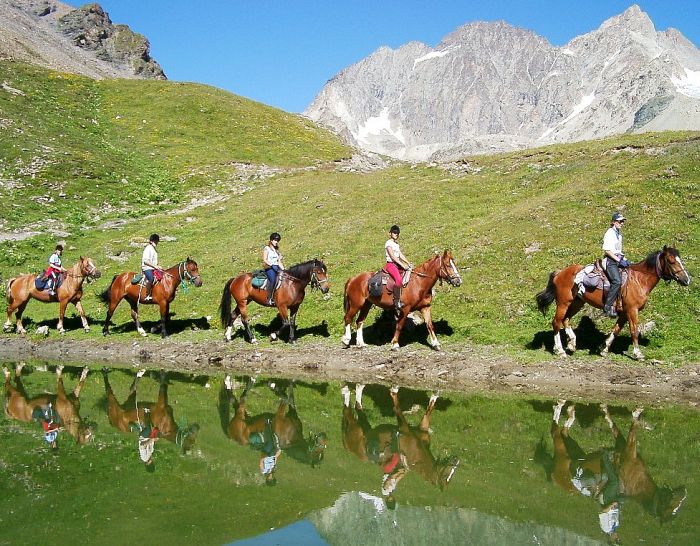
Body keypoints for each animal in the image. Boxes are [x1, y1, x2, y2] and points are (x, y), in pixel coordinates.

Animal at [536, 245, 688, 356]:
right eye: (671, 261)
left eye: (680, 260)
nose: (686, 279)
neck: (639, 280)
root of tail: (560, 273)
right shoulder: (632, 310)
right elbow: (634, 331)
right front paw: (637, 353)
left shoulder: (624, 312)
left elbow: (616, 330)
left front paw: (604, 349)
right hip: (563, 303)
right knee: (556, 322)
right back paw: (560, 350)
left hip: (577, 303)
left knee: (565, 320)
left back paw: (572, 344)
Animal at [540, 400, 688, 528]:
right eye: (674, 505)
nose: (685, 491)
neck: (638, 485)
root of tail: (554, 476)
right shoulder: (628, 452)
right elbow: (631, 428)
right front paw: (635, 412)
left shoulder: (622, 449)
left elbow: (616, 428)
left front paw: (606, 409)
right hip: (561, 452)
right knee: (555, 431)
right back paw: (560, 407)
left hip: (572, 449)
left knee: (564, 430)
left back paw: (570, 414)